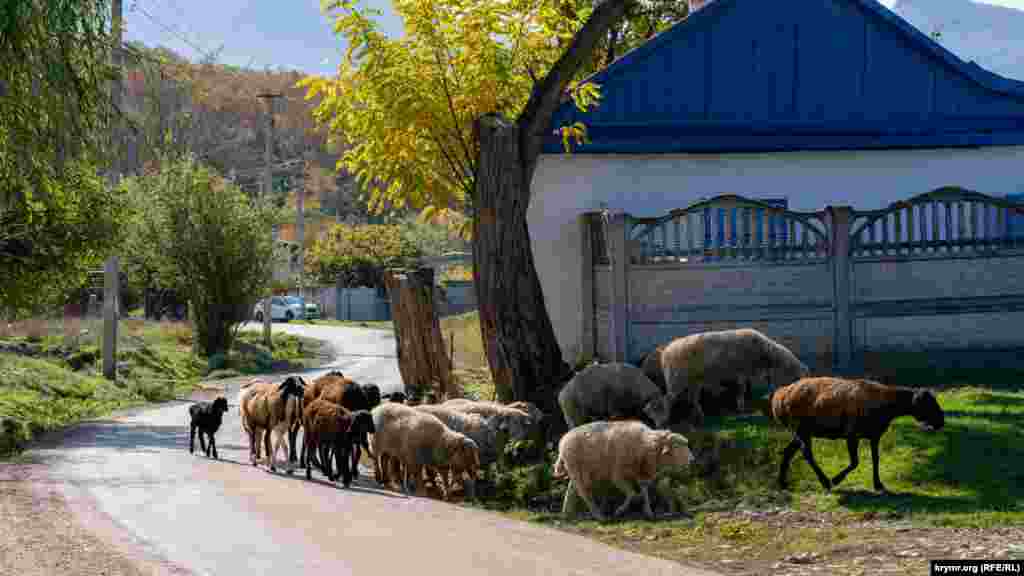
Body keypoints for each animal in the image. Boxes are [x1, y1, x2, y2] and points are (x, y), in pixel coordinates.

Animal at [552, 416, 696, 520]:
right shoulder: (618, 474)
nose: (692, 460)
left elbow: (644, 490)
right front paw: (619, 511)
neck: (645, 444)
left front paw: (648, 512)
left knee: (572, 490)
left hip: (576, 471)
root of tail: (563, 441)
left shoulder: (640, 472)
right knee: (584, 493)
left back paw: (566, 514)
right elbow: (632, 493)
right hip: (577, 470)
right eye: (677, 446)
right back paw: (599, 516)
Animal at [647, 327, 806, 426]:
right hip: (677, 379)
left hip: (692, 380)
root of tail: (666, 352)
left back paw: (699, 416)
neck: (765, 354)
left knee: (692, 399)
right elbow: (742, 389)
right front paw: (741, 407)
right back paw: (662, 420)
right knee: (666, 400)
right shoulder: (741, 371)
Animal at [770, 375, 942, 491]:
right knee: (807, 454)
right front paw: (836, 479)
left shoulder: (874, 436)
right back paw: (825, 481)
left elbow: (875, 459)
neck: (887, 405)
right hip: (802, 429)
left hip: (799, 432)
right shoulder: (852, 435)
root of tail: (779, 396)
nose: (941, 422)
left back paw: (782, 483)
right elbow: (855, 462)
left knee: (788, 452)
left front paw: (878, 484)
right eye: (928, 404)